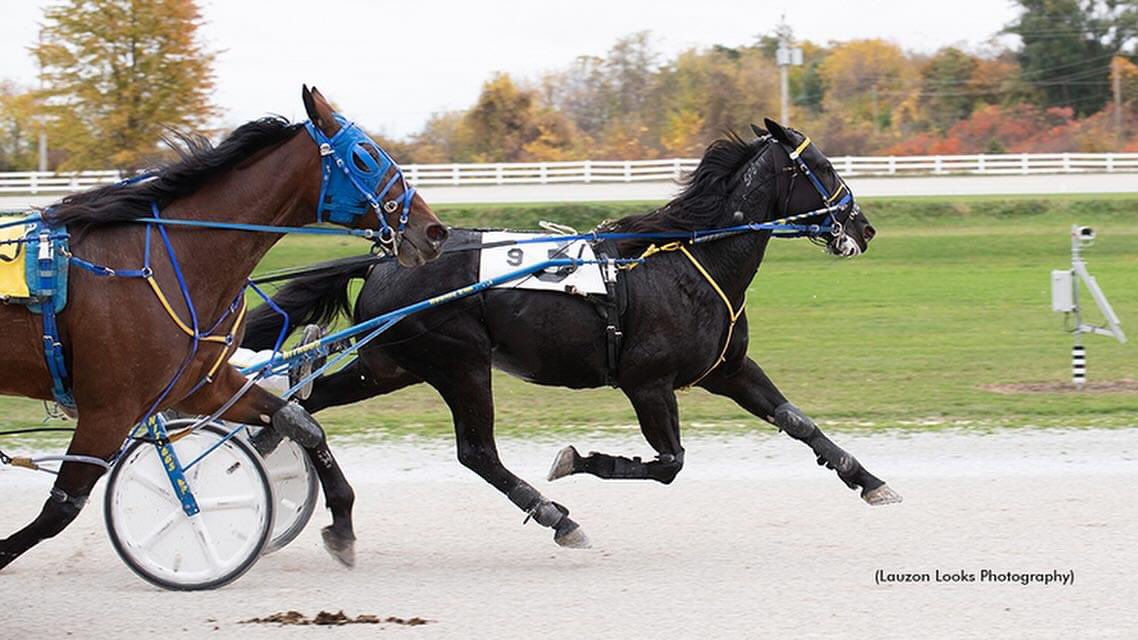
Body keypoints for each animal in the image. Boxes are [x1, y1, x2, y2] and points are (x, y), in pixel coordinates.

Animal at [0, 84, 448, 567]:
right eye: (365, 156)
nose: (434, 231)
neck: (169, 258)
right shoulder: (109, 409)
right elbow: (62, 507)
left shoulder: (202, 386)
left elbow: (298, 420)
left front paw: (342, 524)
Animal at [244, 117, 901, 546]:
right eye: (822, 168)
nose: (863, 228)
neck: (689, 263)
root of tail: (386, 259)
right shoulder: (648, 383)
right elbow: (669, 463)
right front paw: (576, 459)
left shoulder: (728, 369)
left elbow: (799, 422)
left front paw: (869, 481)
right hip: (459, 363)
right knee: (476, 452)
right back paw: (555, 515)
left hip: (392, 363)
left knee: (309, 405)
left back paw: (292, 462)